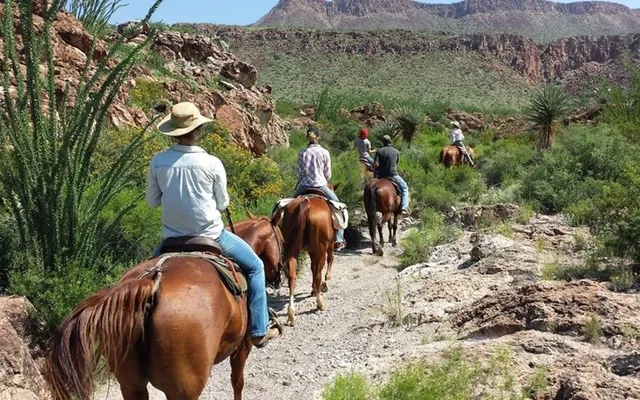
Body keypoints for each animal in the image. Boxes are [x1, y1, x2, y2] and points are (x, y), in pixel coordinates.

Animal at [272, 184, 338, 324]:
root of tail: (305, 203)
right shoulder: (328, 246)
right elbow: (329, 260)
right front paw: (324, 284)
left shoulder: (310, 251)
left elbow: (312, 268)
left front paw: (313, 289)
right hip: (320, 250)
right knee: (318, 274)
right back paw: (319, 303)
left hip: (291, 249)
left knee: (292, 276)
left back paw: (291, 314)